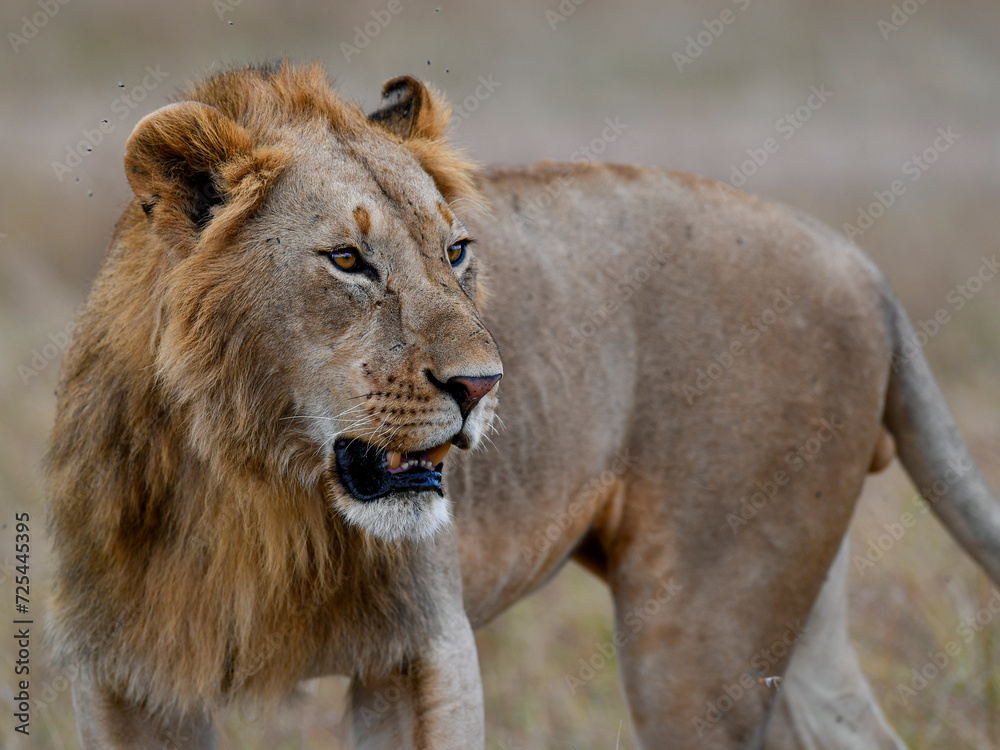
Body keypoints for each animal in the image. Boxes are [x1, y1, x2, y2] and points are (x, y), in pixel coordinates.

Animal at [45, 61, 1000, 749]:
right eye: (348, 260)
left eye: (456, 251)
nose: (479, 386)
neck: (252, 487)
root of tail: (859, 261)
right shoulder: (125, 673)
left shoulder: (421, 649)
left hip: (702, 632)